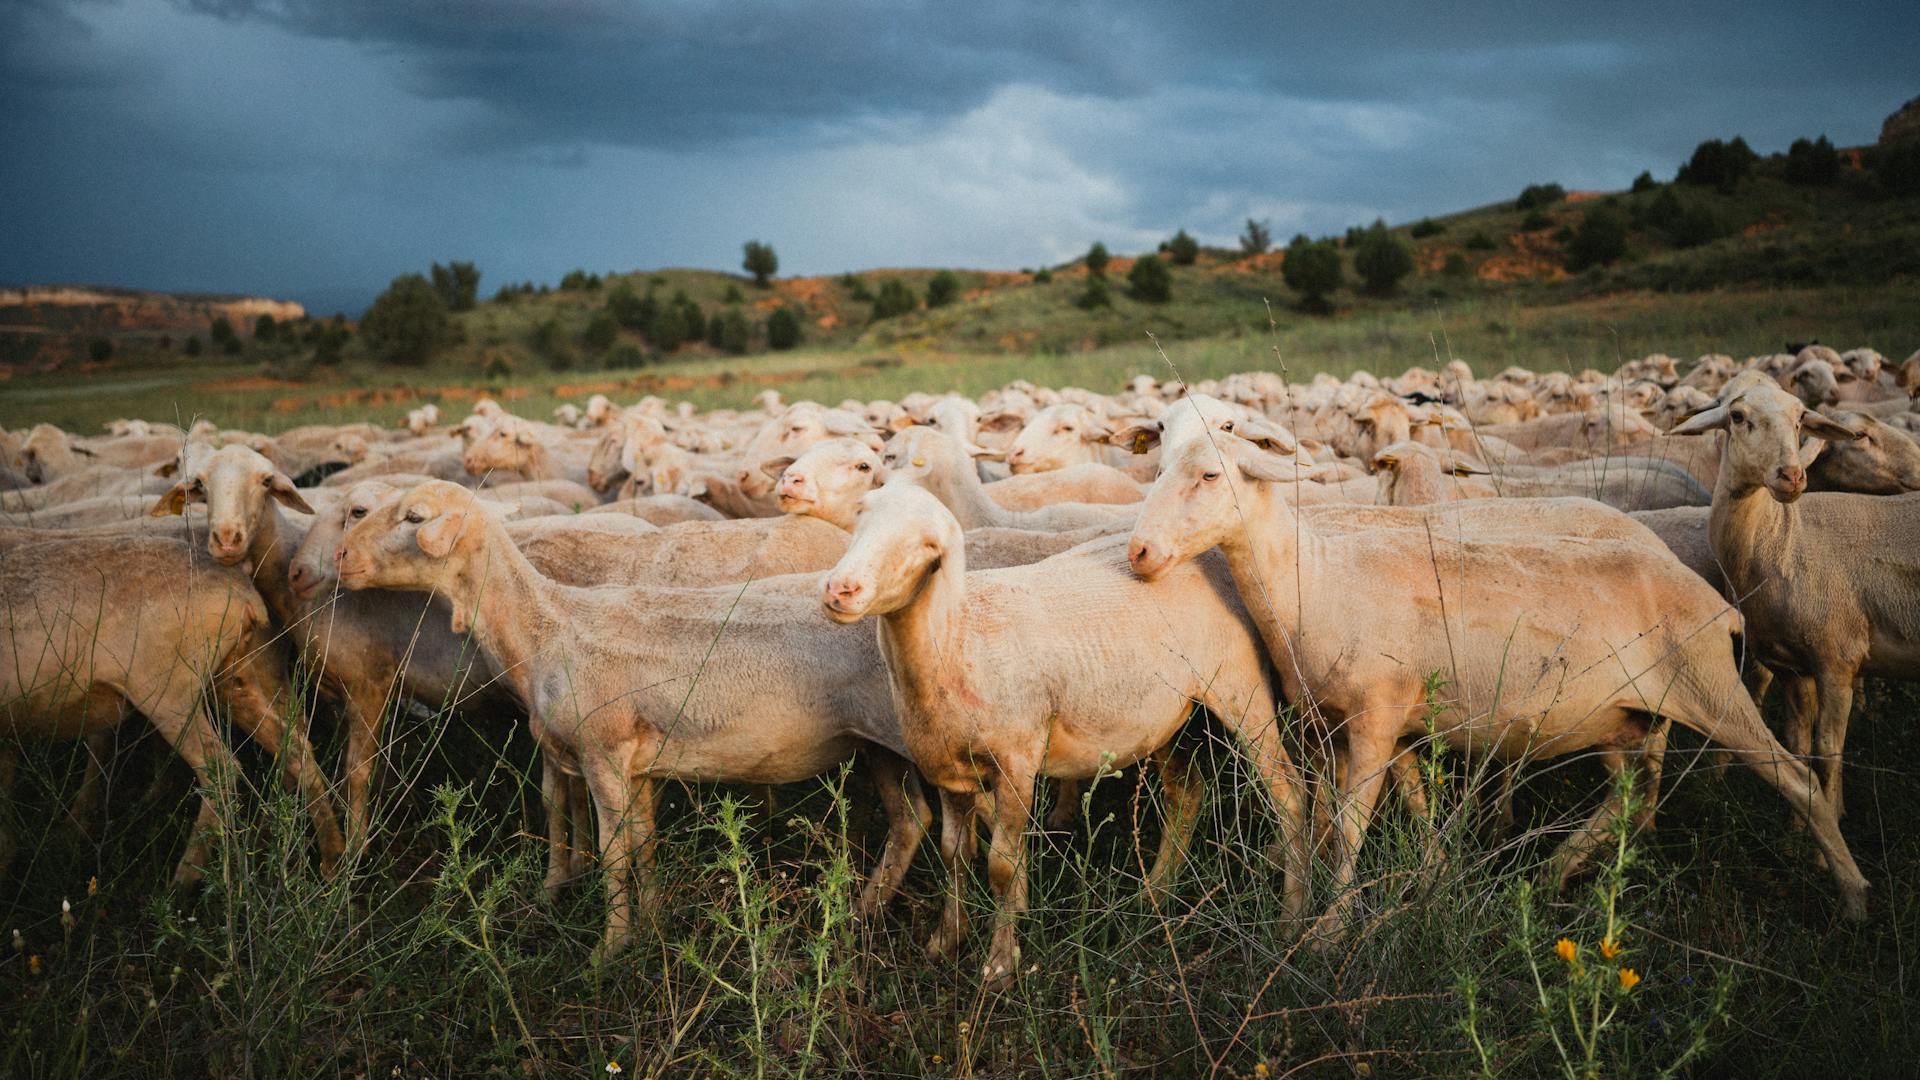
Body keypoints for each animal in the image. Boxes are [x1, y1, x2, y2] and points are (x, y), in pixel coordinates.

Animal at [0, 534, 341, 880]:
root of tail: (244, 597)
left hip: (170, 695)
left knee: (221, 768)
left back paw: (183, 880)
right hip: (231, 677)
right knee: (294, 747)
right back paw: (332, 857)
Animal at [341, 478, 940, 957]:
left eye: (413, 517)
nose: (342, 556)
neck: (545, 629)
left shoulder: (603, 753)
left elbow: (614, 853)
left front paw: (610, 950)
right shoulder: (642, 764)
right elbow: (645, 840)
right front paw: (652, 924)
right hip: (879, 746)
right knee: (912, 820)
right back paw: (864, 913)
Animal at [817, 484, 1313, 980]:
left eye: (925, 545)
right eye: (860, 518)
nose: (841, 589)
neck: (959, 640)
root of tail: (1207, 556)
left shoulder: (1017, 762)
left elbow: (1001, 865)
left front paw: (1000, 965)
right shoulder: (947, 770)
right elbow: (953, 854)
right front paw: (945, 943)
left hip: (1240, 686)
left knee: (1288, 791)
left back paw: (1291, 920)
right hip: (1165, 716)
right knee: (1187, 792)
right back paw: (1155, 893)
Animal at [1666, 380, 1920, 814]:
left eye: (1801, 418)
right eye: (1737, 416)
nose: (1791, 475)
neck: (1782, 539)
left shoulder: (1838, 659)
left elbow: (1827, 753)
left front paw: (1832, 819)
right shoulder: (1792, 668)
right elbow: (1799, 748)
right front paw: (1799, 827)